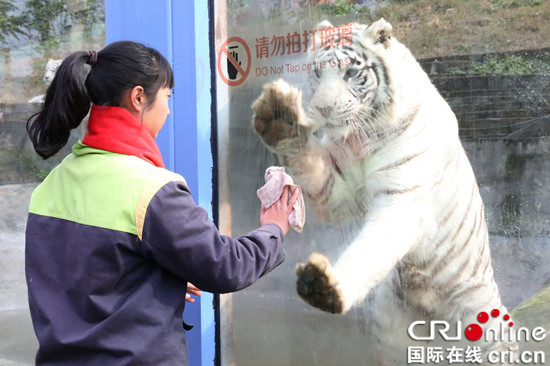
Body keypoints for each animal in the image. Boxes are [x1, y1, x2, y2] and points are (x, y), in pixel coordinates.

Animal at [252, 19, 520, 364]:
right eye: (317, 72)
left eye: (351, 72)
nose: (322, 109)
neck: (363, 138)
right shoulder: (337, 189)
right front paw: (280, 117)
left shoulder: (403, 200)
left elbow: (369, 250)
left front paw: (325, 287)